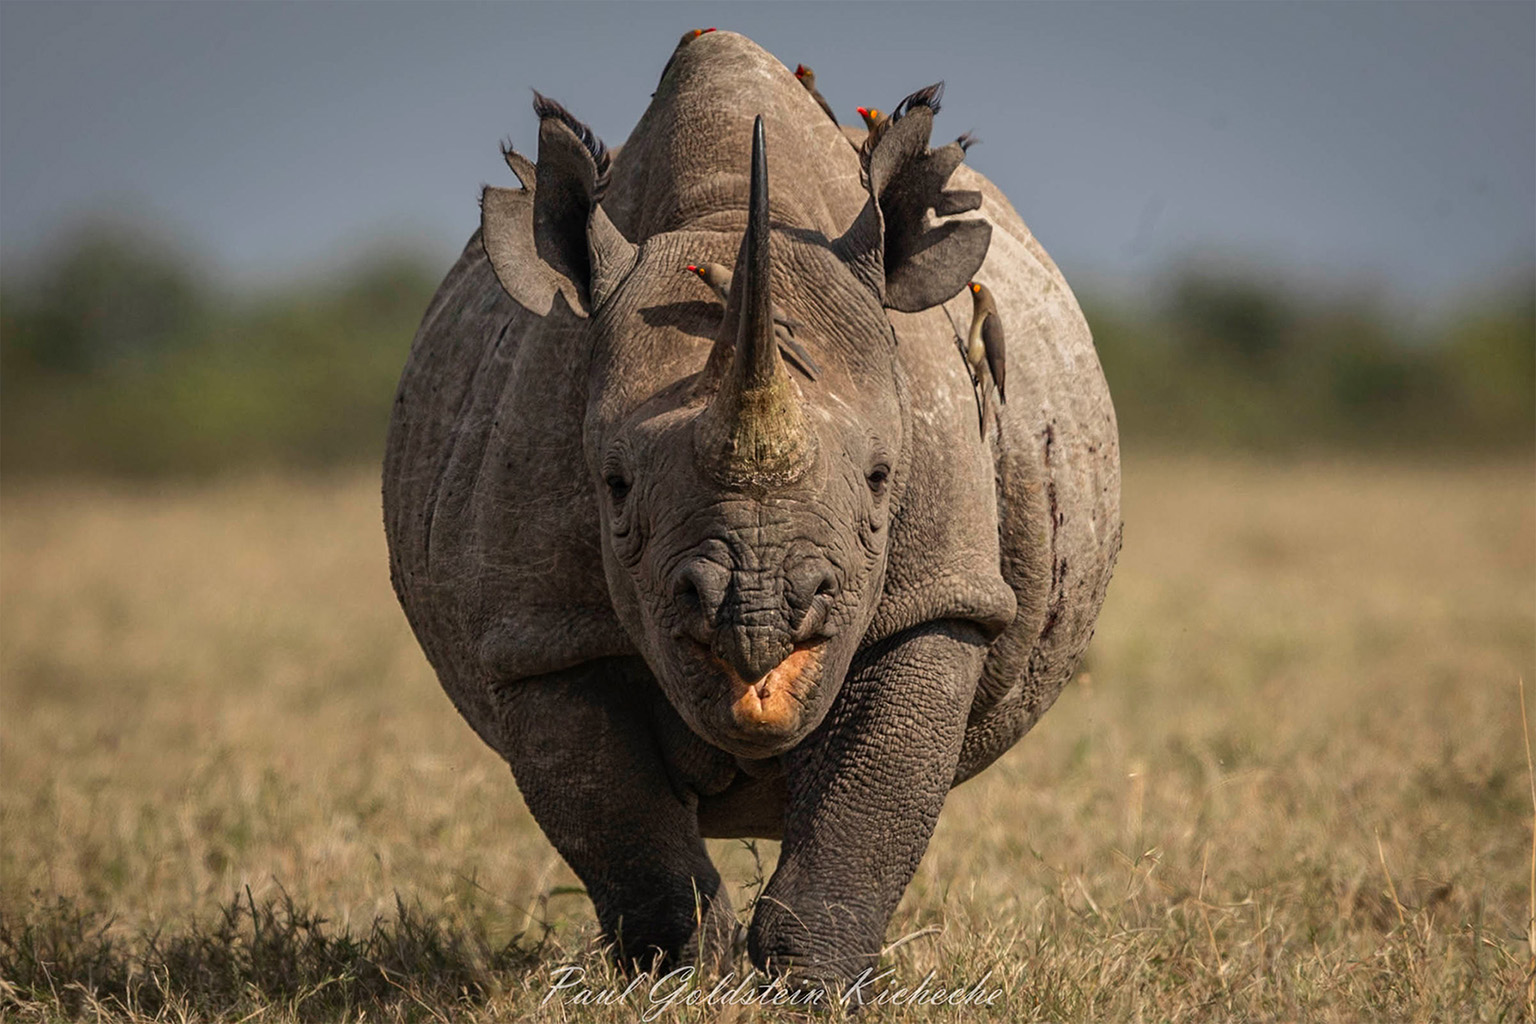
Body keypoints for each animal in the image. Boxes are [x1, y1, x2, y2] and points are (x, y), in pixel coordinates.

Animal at [383, 30, 1120, 991]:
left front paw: (815, 988)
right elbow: (616, 824)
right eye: (613, 487)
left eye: (881, 478)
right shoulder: (540, 634)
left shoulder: (941, 595)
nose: (759, 614)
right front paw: (675, 979)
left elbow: (875, 794)